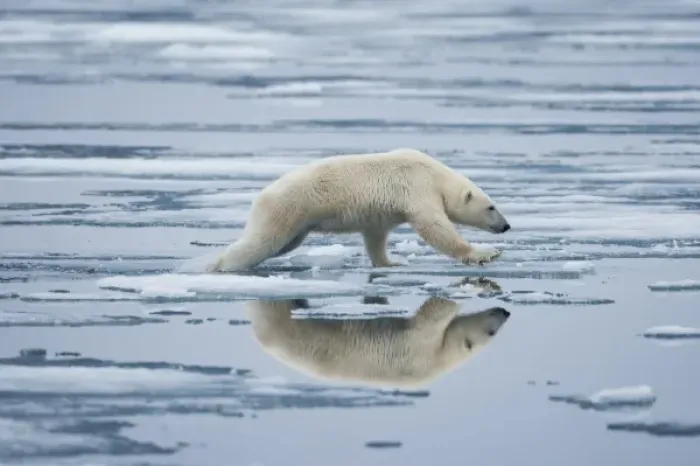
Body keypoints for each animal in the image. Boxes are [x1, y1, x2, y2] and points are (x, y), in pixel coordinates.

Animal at [206, 148, 510, 272]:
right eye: (491, 207)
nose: (506, 226)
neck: (434, 174)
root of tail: (261, 196)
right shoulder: (417, 187)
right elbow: (435, 227)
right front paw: (486, 253)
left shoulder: (383, 212)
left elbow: (375, 236)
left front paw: (391, 263)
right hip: (286, 210)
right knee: (260, 243)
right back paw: (218, 265)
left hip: (296, 225)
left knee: (283, 245)